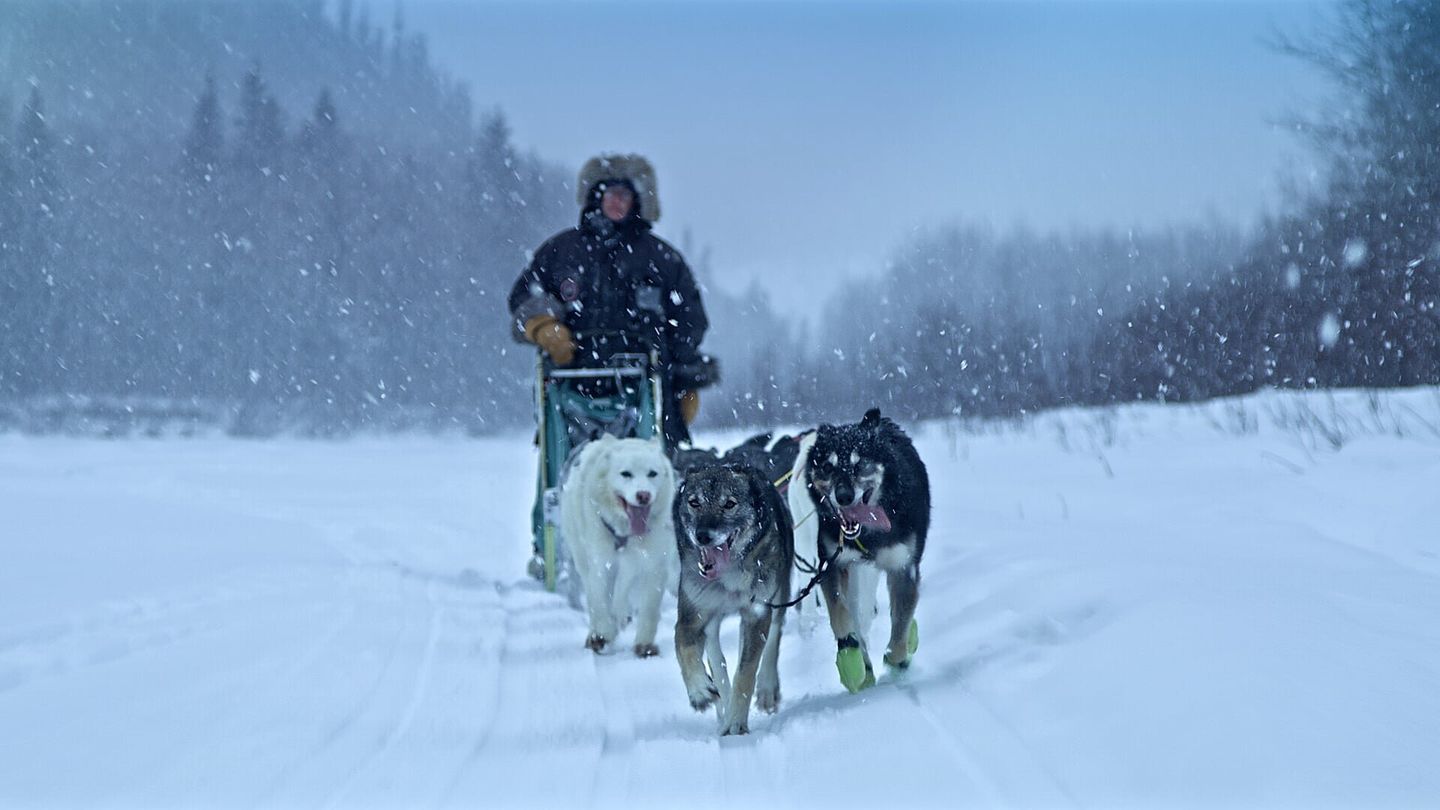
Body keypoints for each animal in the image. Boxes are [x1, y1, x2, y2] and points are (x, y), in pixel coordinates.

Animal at [558, 435, 676, 657]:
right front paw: (603, 634)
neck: (626, 534)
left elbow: (647, 607)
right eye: (626, 474)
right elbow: (600, 603)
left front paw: (644, 645)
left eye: (652, 473)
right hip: (582, 559)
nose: (643, 495)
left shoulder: (654, 564)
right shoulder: (600, 562)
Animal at [676, 461, 800, 732]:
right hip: (711, 623)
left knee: (773, 636)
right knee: (717, 659)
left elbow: (745, 673)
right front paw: (700, 691)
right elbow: (683, 647)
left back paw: (766, 689)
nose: (703, 535)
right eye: (694, 502)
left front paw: (736, 724)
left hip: (778, 595)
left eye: (729, 504)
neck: (728, 579)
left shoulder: (757, 613)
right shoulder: (692, 615)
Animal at [806, 406, 927, 691]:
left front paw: (896, 661)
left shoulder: (903, 568)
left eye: (859, 463)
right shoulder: (832, 564)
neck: (868, 536)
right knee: (857, 616)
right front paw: (850, 658)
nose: (844, 496)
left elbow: (900, 629)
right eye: (827, 467)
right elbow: (840, 616)